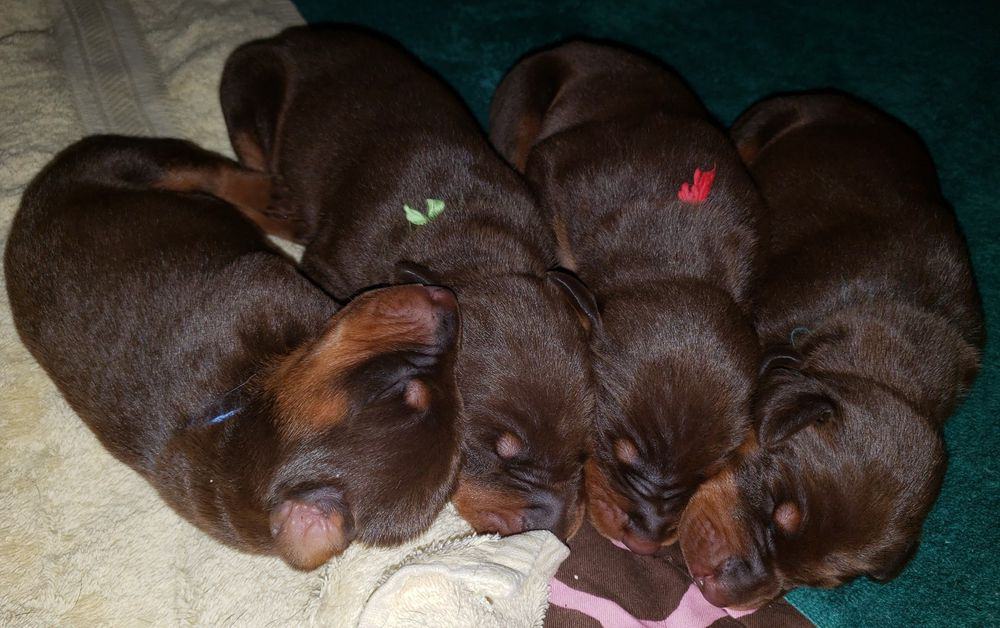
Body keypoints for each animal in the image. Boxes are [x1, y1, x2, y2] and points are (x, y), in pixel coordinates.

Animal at [4, 135, 460, 572]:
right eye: (404, 390)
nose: (451, 302)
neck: (244, 406)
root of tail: (31, 198)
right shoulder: (267, 284)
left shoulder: (264, 286)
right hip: (130, 160)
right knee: (205, 171)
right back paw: (277, 197)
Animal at [219, 27, 592, 536]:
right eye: (488, 449)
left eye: (584, 450)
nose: (554, 529)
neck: (474, 248)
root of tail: (289, 34)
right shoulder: (329, 269)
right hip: (248, 89)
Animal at [488, 43, 760, 556]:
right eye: (620, 452)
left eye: (707, 472)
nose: (646, 545)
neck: (674, 261)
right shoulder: (555, 172)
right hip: (523, 100)